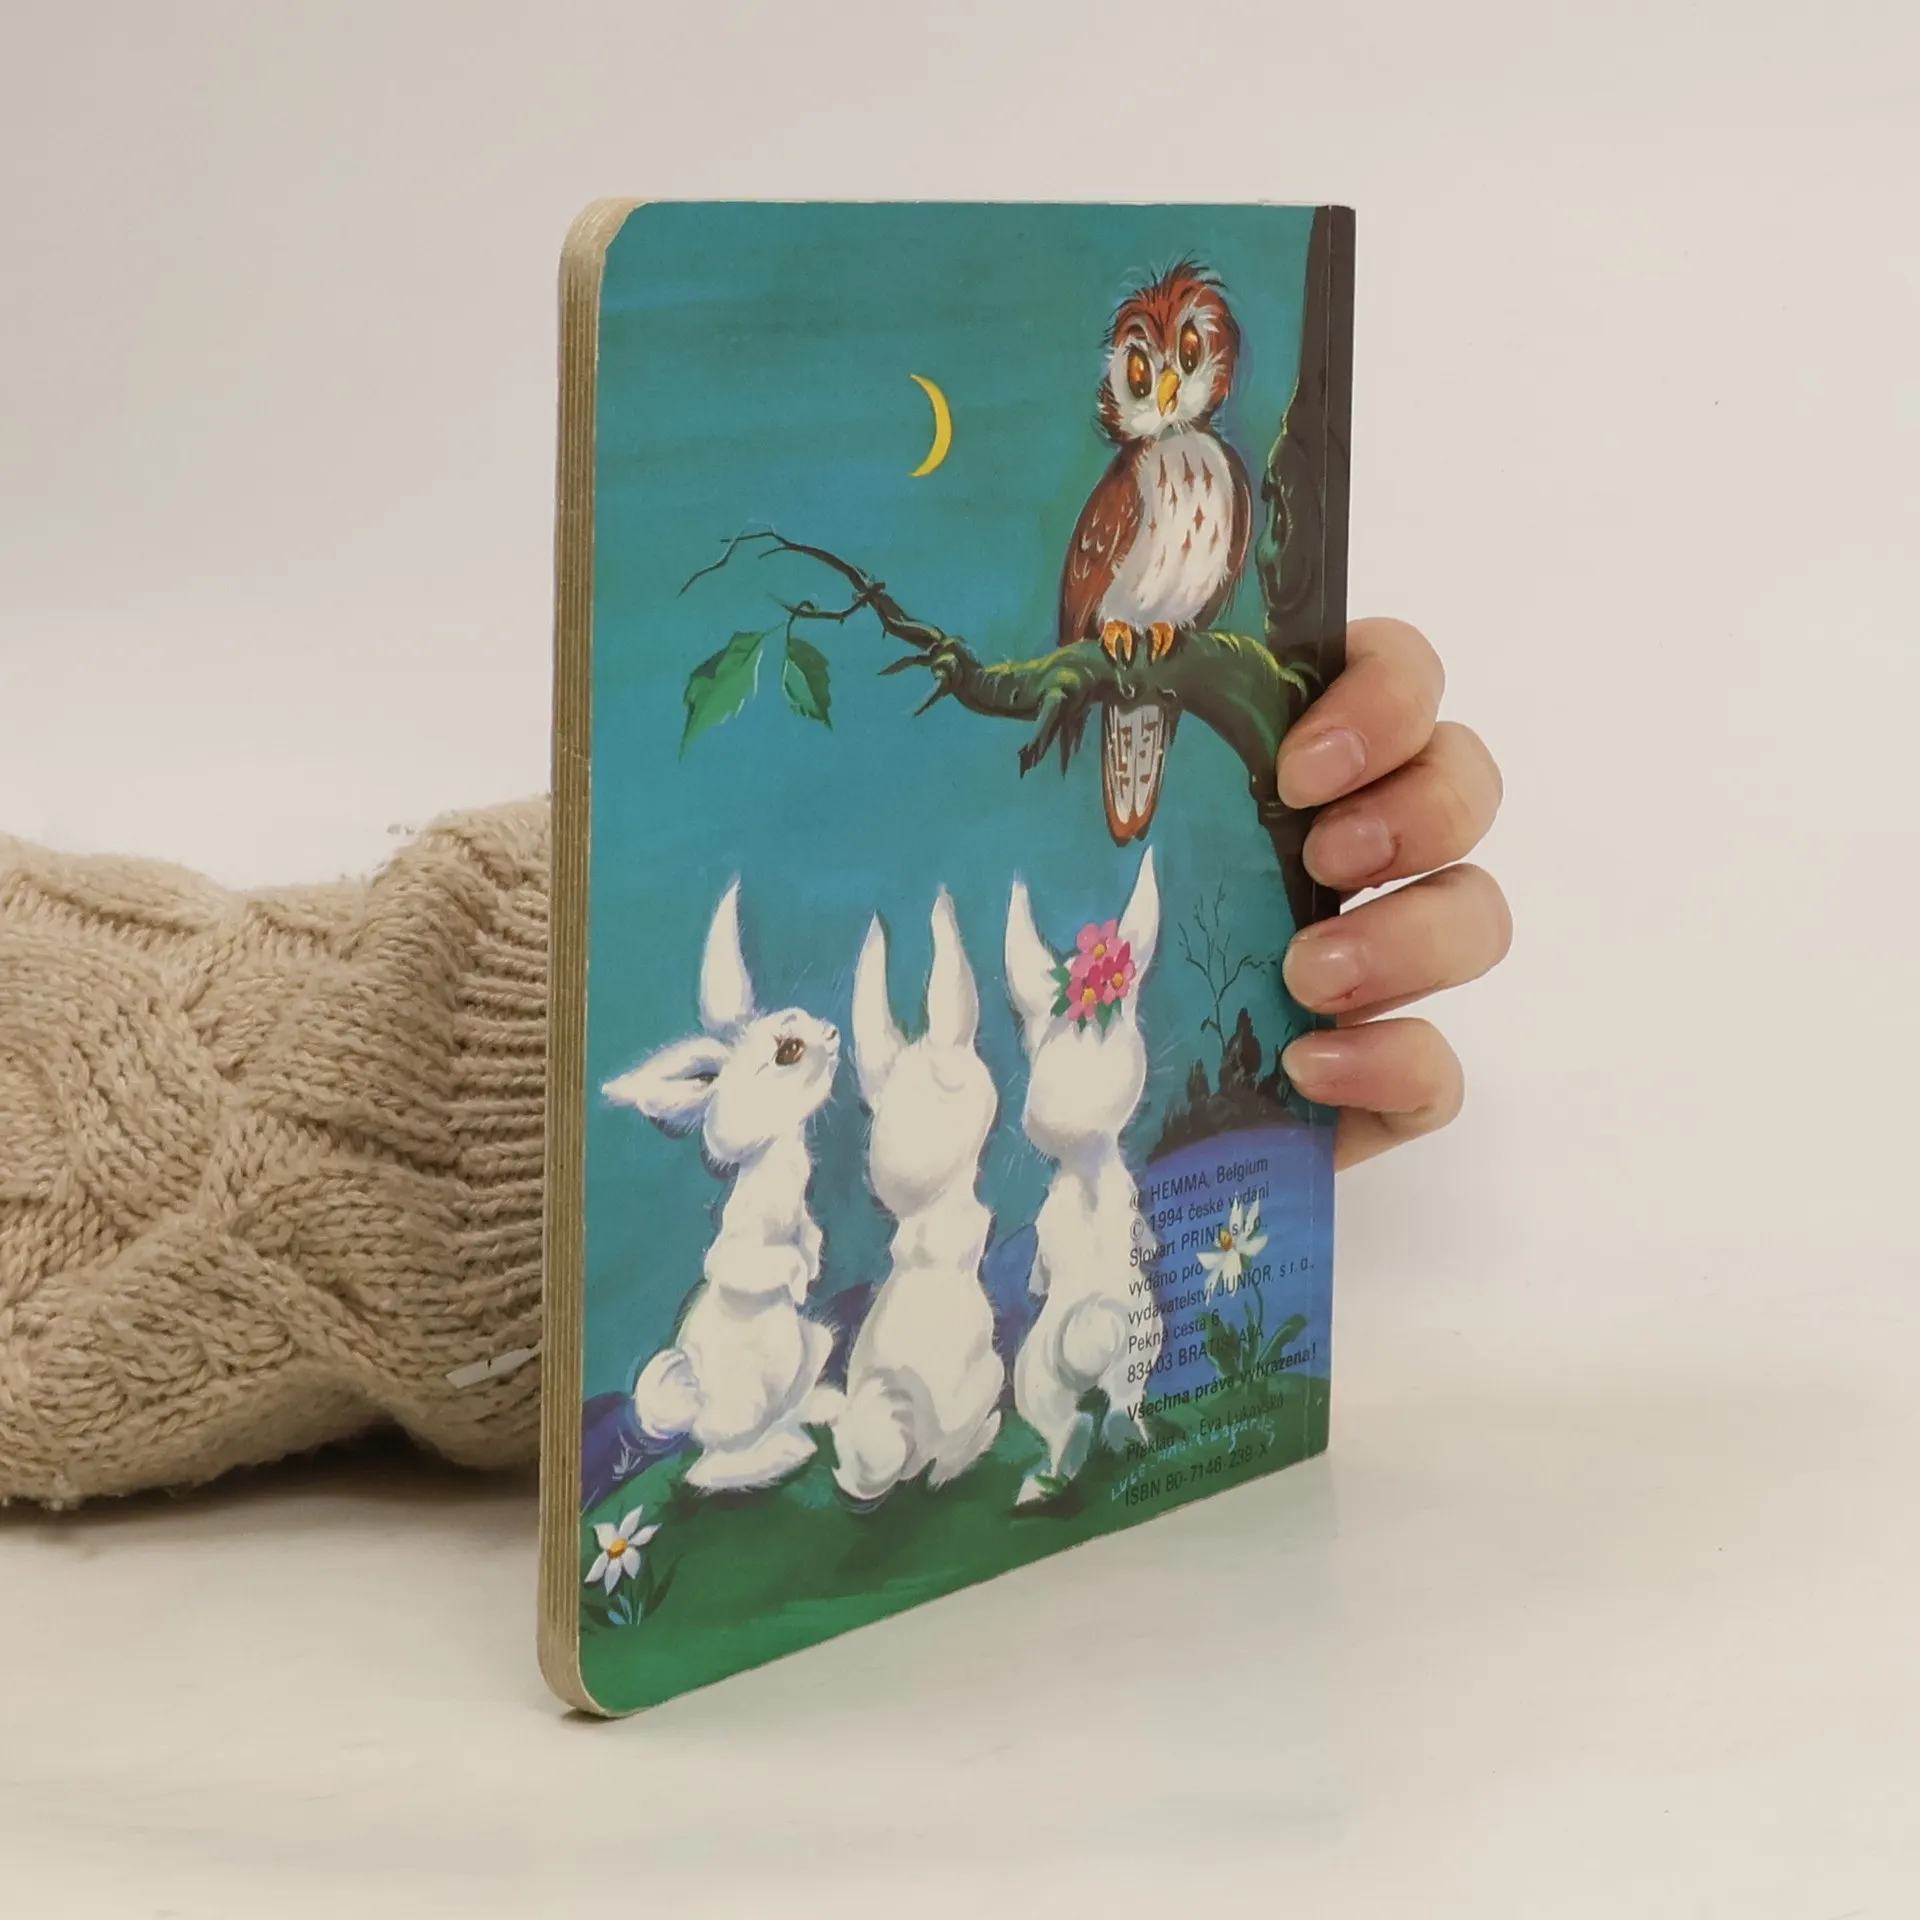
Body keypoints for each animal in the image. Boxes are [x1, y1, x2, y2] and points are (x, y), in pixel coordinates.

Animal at [602, 879, 841, 1494]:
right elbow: (755, 1265)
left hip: (815, 1344)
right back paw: (773, 1462)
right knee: (718, 1461)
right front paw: (798, 1278)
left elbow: (809, 1235)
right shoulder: (736, 1252)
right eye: (788, 1051)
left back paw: (822, 1415)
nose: (833, 1032)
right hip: (741, 1407)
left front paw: (812, 1263)